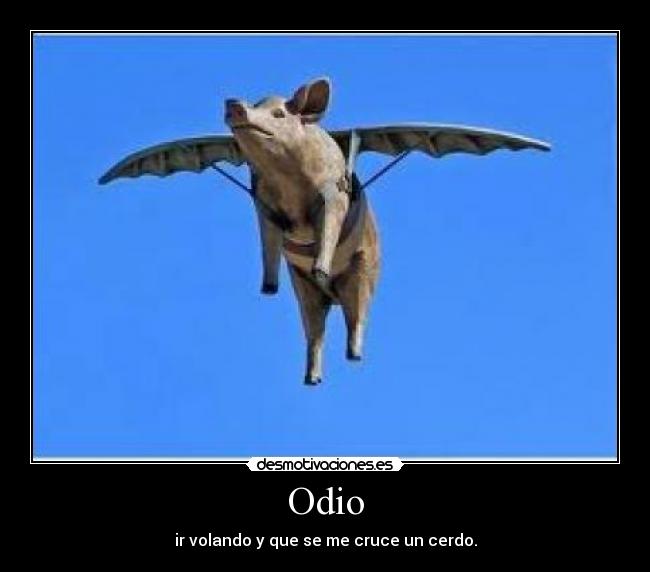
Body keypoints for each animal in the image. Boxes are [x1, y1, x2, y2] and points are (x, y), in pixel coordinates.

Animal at [224, 78, 379, 385]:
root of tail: (333, 296)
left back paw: (353, 354)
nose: (235, 104)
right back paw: (312, 379)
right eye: (257, 104)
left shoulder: (333, 196)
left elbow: (329, 226)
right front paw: (268, 288)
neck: (289, 184)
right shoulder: (263, 202)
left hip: (364, 267)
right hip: (302, 285)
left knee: (357, 313)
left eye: (279, 114)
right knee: (314, 328)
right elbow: (269, 239)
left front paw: (320, 269)